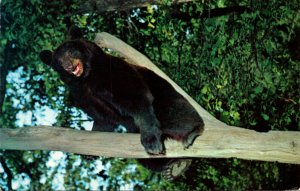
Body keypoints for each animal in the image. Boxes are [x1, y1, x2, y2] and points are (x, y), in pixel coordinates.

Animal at [39, 28, 204, 179]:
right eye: (58, 61)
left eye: (70, 52)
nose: (68, 66)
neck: (87, 77)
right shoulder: (82, 95)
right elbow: (103, 118)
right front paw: (89, 151)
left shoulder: (112, 71)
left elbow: (134, 96)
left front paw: (151, 141)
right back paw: (173, 166)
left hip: (165, 96)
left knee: (173, 113)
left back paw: (191, 133)